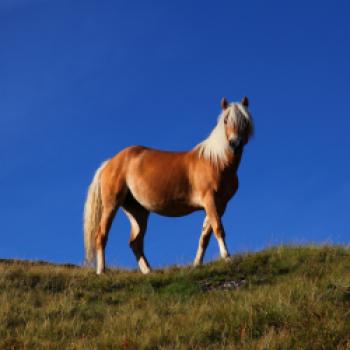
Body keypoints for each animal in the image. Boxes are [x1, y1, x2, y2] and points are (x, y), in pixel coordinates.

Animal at [83, 96, 253, 274]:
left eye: (245, 121)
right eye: (226, 120)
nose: (235, 144)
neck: (216, 161)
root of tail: (109, 162)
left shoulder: (219, 205)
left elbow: (205, 235)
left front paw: (197, 263)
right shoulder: (210, 200)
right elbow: (218, 228)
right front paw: (227, 258)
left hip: (138, 211)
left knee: (135, 242)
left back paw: (148, 271)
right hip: (111, 204)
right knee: (101, 235)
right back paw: (101, 271)